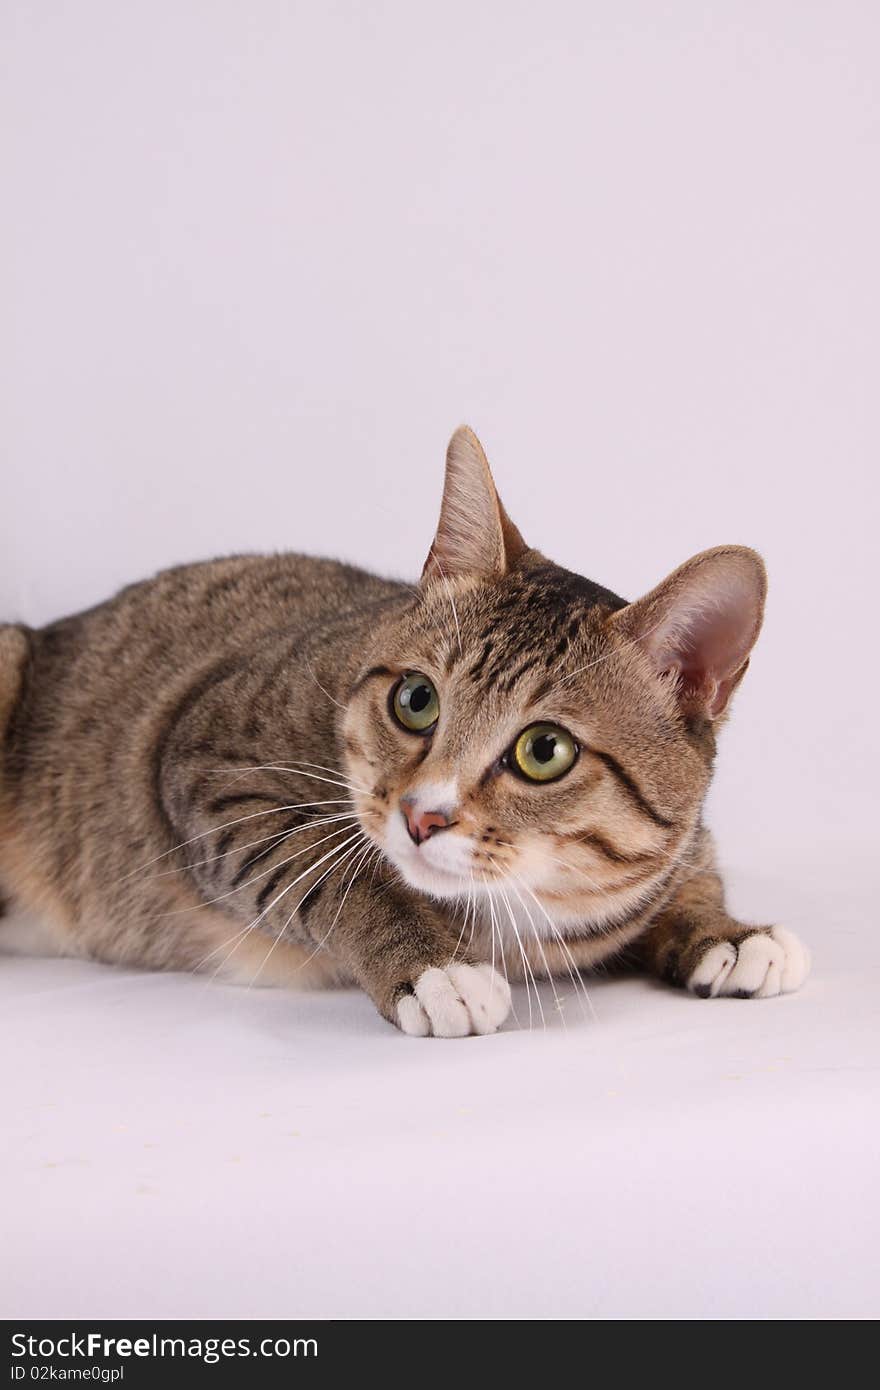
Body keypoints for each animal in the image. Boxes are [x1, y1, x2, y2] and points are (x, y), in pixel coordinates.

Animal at [0, 428, 811, 1039]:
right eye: (416, 700)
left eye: (545, 751)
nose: (423, 816)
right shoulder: (208, 764)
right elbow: (334, 874)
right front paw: (430, 966)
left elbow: (689, 879)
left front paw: (725, 932)